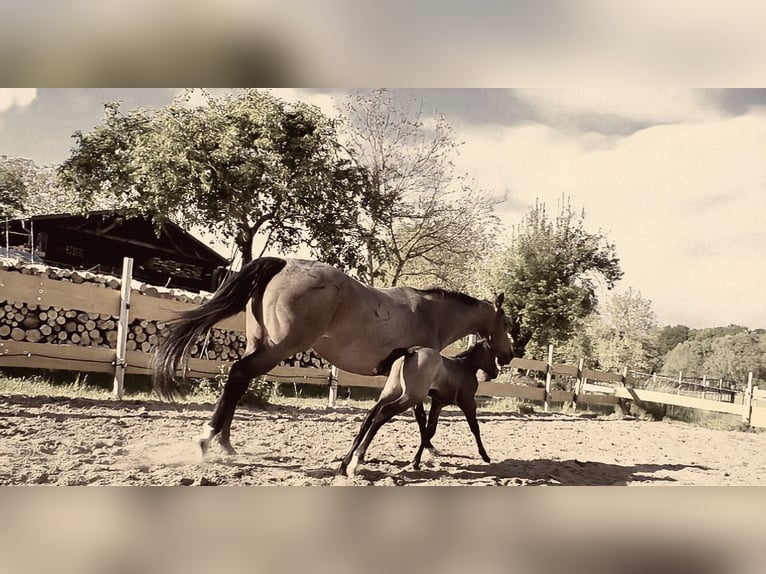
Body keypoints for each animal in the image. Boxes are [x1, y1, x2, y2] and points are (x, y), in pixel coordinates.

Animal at [153, 257, 513, 455]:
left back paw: (226, 445)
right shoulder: (416, 380)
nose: (509, 356)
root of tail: (284, 264)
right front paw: (430, 448)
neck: (430, 312)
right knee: (239, 375)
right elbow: (421, 416)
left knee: (238, 382)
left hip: (260, 345)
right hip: (276, 349)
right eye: (507, 323)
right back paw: (209, 439)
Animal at [339, 339, 498, 476]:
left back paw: (345, 464)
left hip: (391, 392)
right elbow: (475, 428)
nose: (496, 373)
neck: (466, 366)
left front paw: (417, 461)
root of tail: (412, 351)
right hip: (410, 397)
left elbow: (429, 430)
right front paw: (485, 456)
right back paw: (357, 460)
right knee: (384, 413)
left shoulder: (438, 403)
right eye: (493, 355)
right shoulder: (468, 402)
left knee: (370, 416)